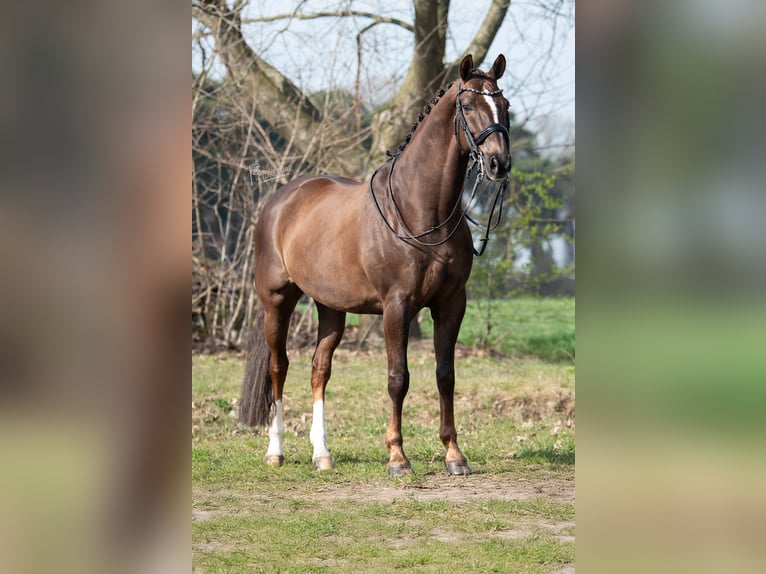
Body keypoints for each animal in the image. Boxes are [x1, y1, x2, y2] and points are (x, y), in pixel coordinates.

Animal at [239, 54, 512, 476]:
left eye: (505, 105)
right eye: (467, 106)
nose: (499, 163)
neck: (419, 210)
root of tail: (280, 200)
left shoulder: (452, 304)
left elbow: (445, 376)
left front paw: (454, 455)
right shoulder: (396, 306)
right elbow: (398, 378)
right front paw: (398, 457)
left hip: (330, 308)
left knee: (319, 369)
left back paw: (322, 454)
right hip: (276, 301)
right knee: (278, 366)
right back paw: (276, 450)